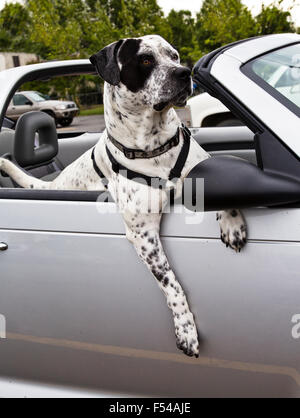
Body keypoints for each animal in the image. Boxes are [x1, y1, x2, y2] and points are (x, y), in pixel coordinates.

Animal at [0, 35, 246, 360]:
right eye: (145, 60)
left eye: (174, 55)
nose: (185, 73)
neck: (155, 147)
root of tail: (54, 184)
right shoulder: (144, 235)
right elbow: (171, 283)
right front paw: (186, 329)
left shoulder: (204, 168)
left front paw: (232, 223)